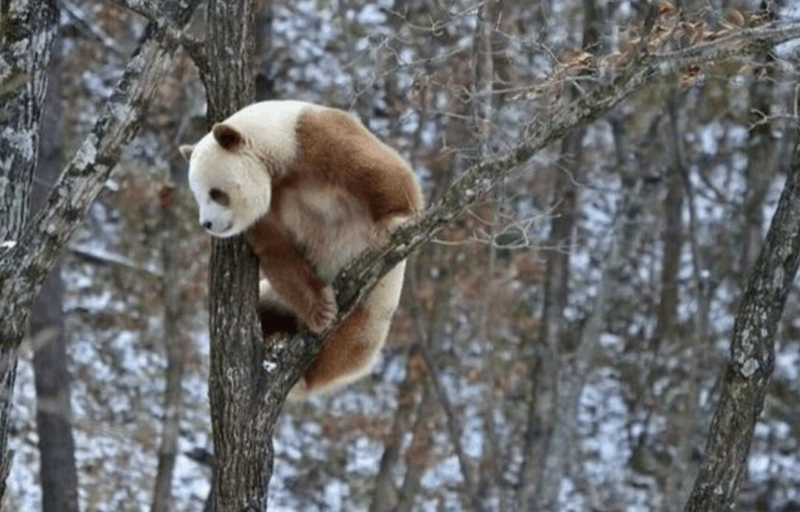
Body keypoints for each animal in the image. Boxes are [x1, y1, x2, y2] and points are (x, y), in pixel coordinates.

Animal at [180, 100, 424, 398]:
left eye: (215, 193)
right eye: (198, 196)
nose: (208, 224)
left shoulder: (313, 139)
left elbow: (382, 172)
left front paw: (392, 222)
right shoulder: (268, 208)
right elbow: (279, 253)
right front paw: (322, 311)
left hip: (371, 308)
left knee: (348, 341)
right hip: (278, 299)